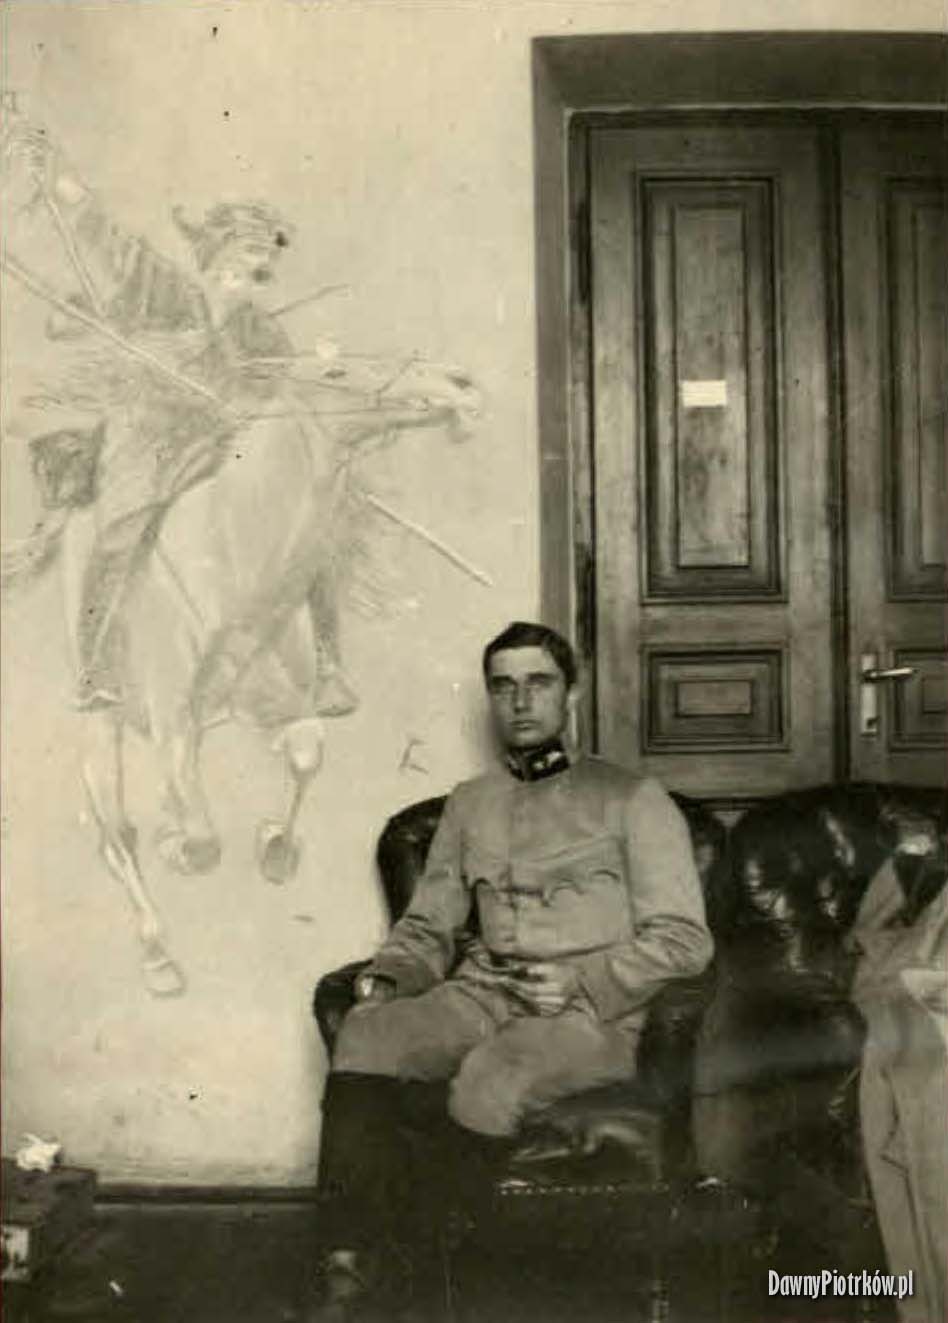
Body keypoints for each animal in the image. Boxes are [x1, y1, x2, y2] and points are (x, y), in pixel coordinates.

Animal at [6, 359, 481, 995]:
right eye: (337, 371)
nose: (457, 384)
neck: (234, 569)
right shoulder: (172, 721)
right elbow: (201, 841)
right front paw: (180, 847)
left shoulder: (286, 707)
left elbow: (302, 759)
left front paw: (273, 846)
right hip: (100, 723)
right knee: (114, 830)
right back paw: (157, 955)